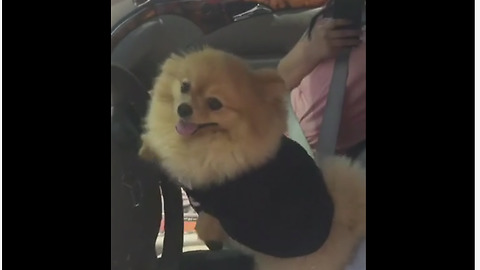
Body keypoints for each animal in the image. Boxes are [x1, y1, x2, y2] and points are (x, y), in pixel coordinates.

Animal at [141, 48, 366, 270]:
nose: (183, 109)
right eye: (185, 86)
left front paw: (209, 236)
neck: (209, 143)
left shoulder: (223, 206)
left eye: (215, 103)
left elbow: (205, 221)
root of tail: (344, 226)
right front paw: (147, 148)